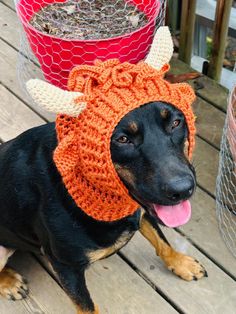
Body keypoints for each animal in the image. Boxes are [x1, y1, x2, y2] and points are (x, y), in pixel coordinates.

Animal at [0, 99, 206, 312]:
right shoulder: (66, 266)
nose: (182, 190)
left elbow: (161, 240)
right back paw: (10, 283)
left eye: (175, 123)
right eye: (122, 139)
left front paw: (181, 263)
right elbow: (86, 306)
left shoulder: (142, 210)